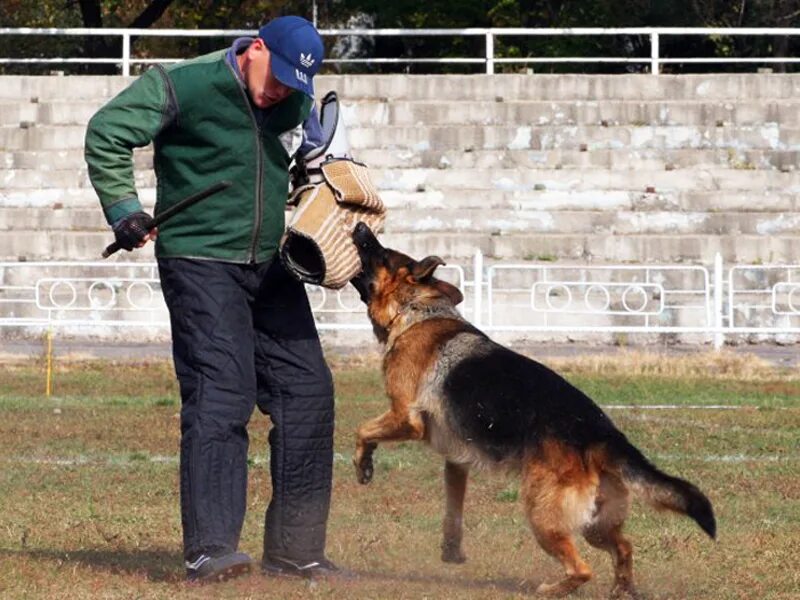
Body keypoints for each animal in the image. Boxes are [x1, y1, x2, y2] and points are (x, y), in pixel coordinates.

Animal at [346, 223, 716, 596]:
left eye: (380, 252)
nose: (360, 226)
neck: (415, 311)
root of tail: (602, 435)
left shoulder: (405, 418)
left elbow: (362, 430)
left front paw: (363, 465)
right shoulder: (455, 459)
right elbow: (453, 508)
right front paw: (451, 550)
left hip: (543, 515)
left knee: (583, 569)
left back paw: (551, 590)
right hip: (595, 525)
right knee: (624, 547)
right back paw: (621, 590)